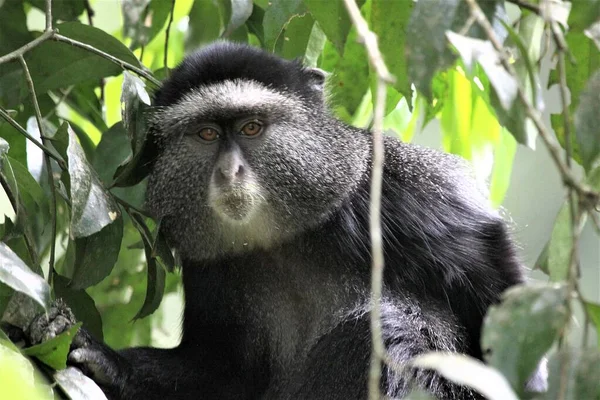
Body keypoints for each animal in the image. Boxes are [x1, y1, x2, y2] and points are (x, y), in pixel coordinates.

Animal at [24, 42, 548, 398]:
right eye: (207, 133)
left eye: (252, 127)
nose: (229, 171)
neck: (282, 239)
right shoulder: (207, 261)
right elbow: (220, 368)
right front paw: (105, 361)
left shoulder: (399, 193)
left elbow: (494, 281)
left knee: (394, 330)